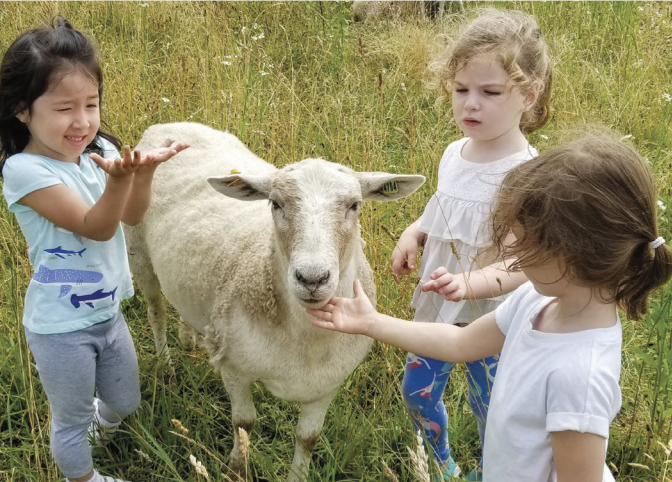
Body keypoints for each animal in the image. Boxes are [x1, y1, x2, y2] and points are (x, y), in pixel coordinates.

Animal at [123, 122, 422, 480]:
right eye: (275, 204)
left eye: (354, 205)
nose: (312, 278)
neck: (305, 339)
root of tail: (170, 126)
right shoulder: (235, 368)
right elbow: (244, 423)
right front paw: (237, 468)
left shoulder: (327, 385)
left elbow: (308, 438)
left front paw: (298, 474)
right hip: (138, 251)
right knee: (156, 311)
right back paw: (166, 368)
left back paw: (190, 338)